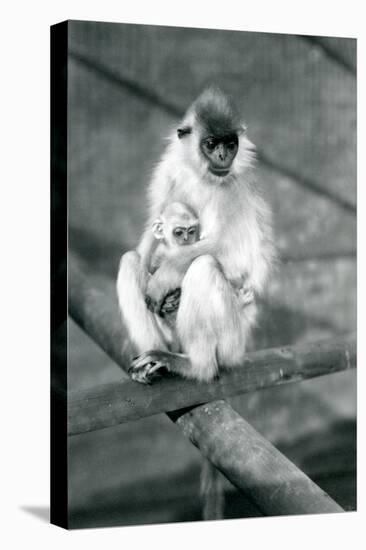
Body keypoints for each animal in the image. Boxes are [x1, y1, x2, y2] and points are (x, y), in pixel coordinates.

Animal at [117, 88, 274, 386]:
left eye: (230, 144)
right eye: (211, 144)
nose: (223, 156)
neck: (205, 177)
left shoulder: (232, 189)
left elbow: (234, 257)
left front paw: (164, 279)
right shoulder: (169, 170)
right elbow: (149, 238)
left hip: (232, 342)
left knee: (204, 265)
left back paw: (196, 366)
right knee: (131, 260)